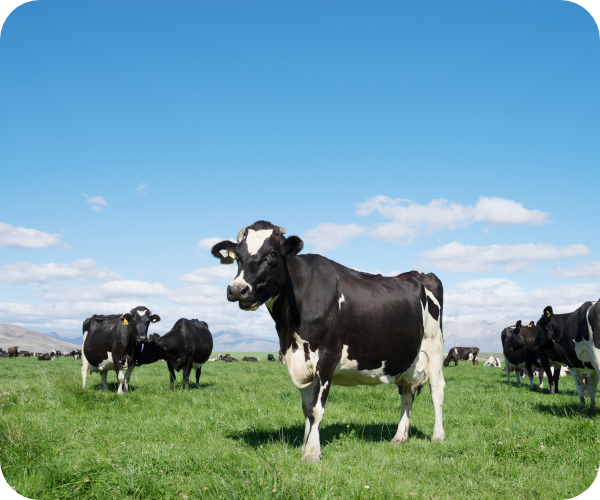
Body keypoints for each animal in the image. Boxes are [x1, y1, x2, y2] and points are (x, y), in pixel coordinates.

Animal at [212, 221, 446, 462]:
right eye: (238, 256)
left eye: (272, 254)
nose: (237, 289)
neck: (290, 326)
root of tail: (419, 273)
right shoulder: (298, 359)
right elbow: (306, 408)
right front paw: (304, 446)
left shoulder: (327, 357)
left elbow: (315, 408)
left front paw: (312, 453)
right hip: (408, 357)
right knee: (407, 393)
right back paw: (400, 437)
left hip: (434, 346)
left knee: (437, 390)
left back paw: (438, 436)